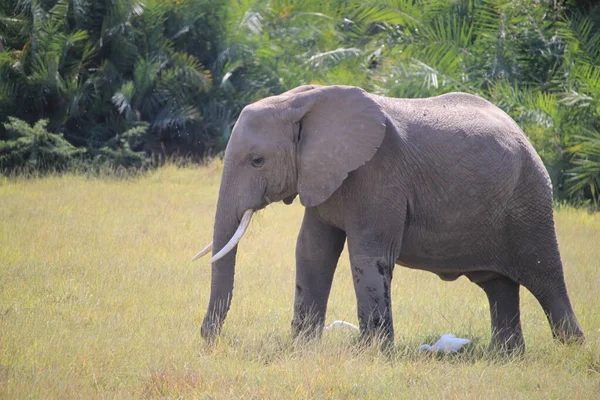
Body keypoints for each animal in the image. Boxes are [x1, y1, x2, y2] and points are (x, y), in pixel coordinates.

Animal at [195, 84, 584, 354]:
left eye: (257, 160)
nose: (209, 339)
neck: (302, 100)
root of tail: (523, 134)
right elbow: (311, 252)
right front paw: (303, 347)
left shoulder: (378, 174)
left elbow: (368, 257)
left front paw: (372, 353)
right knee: (499, 286)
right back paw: (507, 356)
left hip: (529, 201)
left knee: (546, 277)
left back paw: (572, 349)